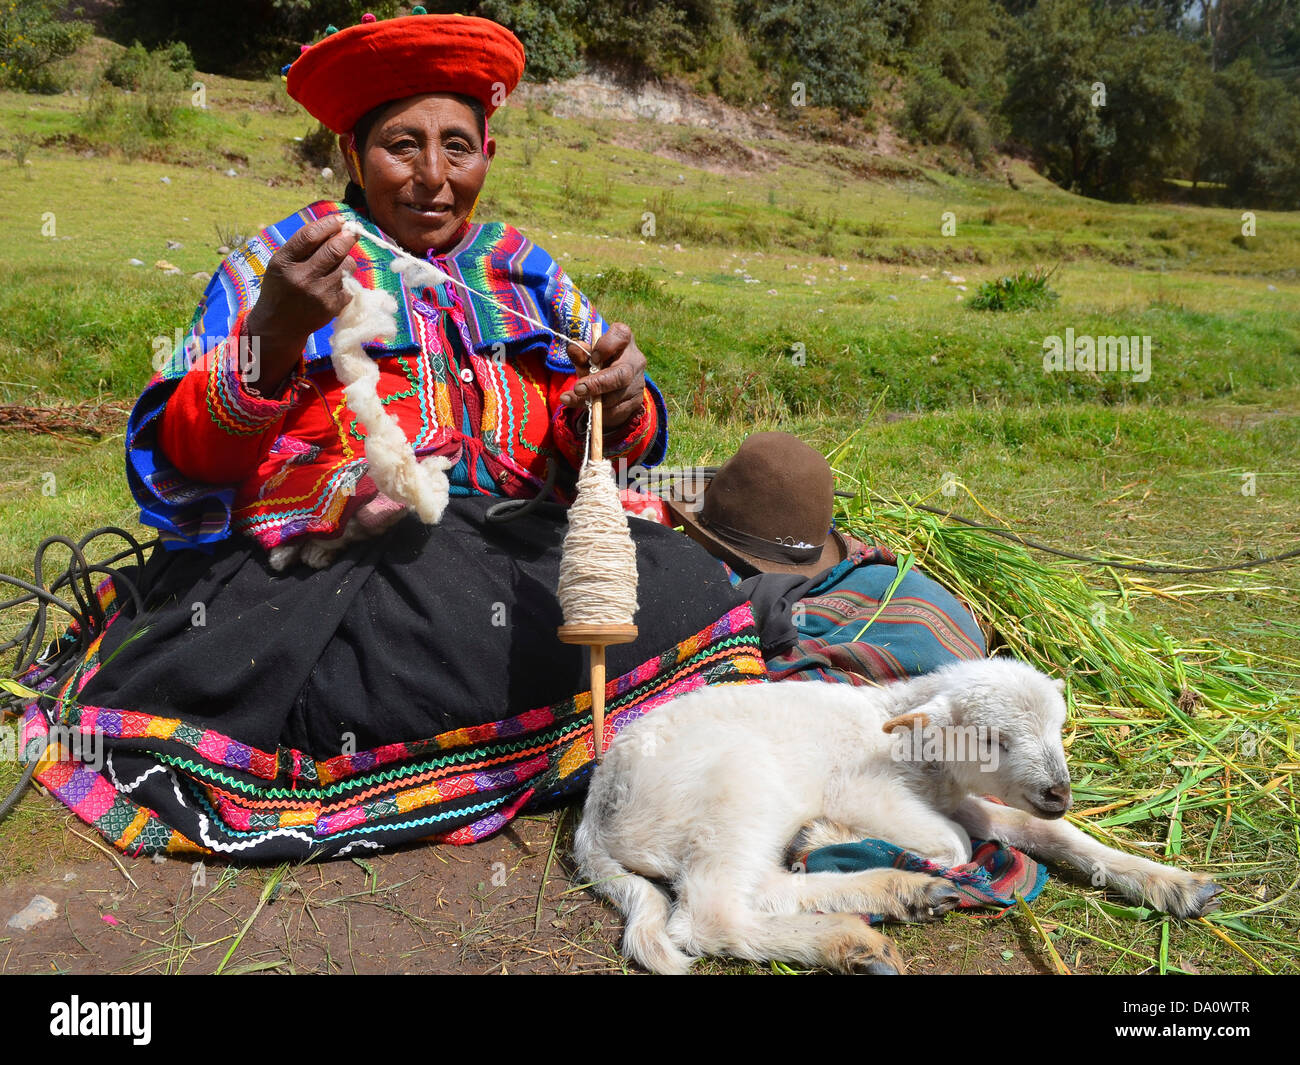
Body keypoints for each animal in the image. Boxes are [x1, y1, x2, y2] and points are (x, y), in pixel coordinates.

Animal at [574, 663, 1222, 977]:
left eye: (1058, 727)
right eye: (992, 739)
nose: (1059, 793)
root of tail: (596, 820)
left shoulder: (958, 797)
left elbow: (1044, 833)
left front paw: (1168, 881)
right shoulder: (865, 789)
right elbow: (955, 843)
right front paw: (837, 834)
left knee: (760, 887)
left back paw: (897, 891)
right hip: (739, 787)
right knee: (709, 917)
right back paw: (853, 930)